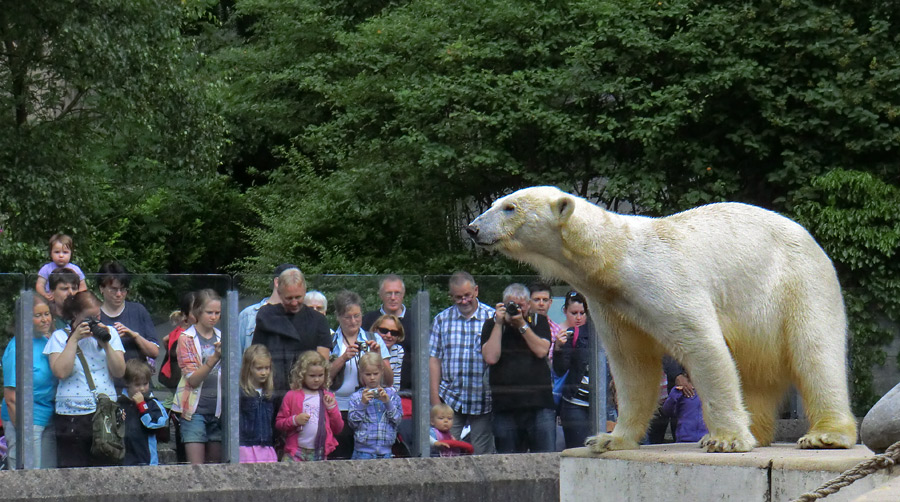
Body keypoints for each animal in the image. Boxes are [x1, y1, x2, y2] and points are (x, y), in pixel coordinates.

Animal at [468, 186, 856, 452]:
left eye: (509, 207)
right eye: (495, 203)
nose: (472, 228)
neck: (614, 258)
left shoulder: (663, 280)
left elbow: (704, 347)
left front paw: (726, 440)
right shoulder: (611, 305)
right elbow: (632, 366)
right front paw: (608, 439)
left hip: (799, 283)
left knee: (815, 352)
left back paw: (826, 434)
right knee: (755, 373)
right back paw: (757, 433)